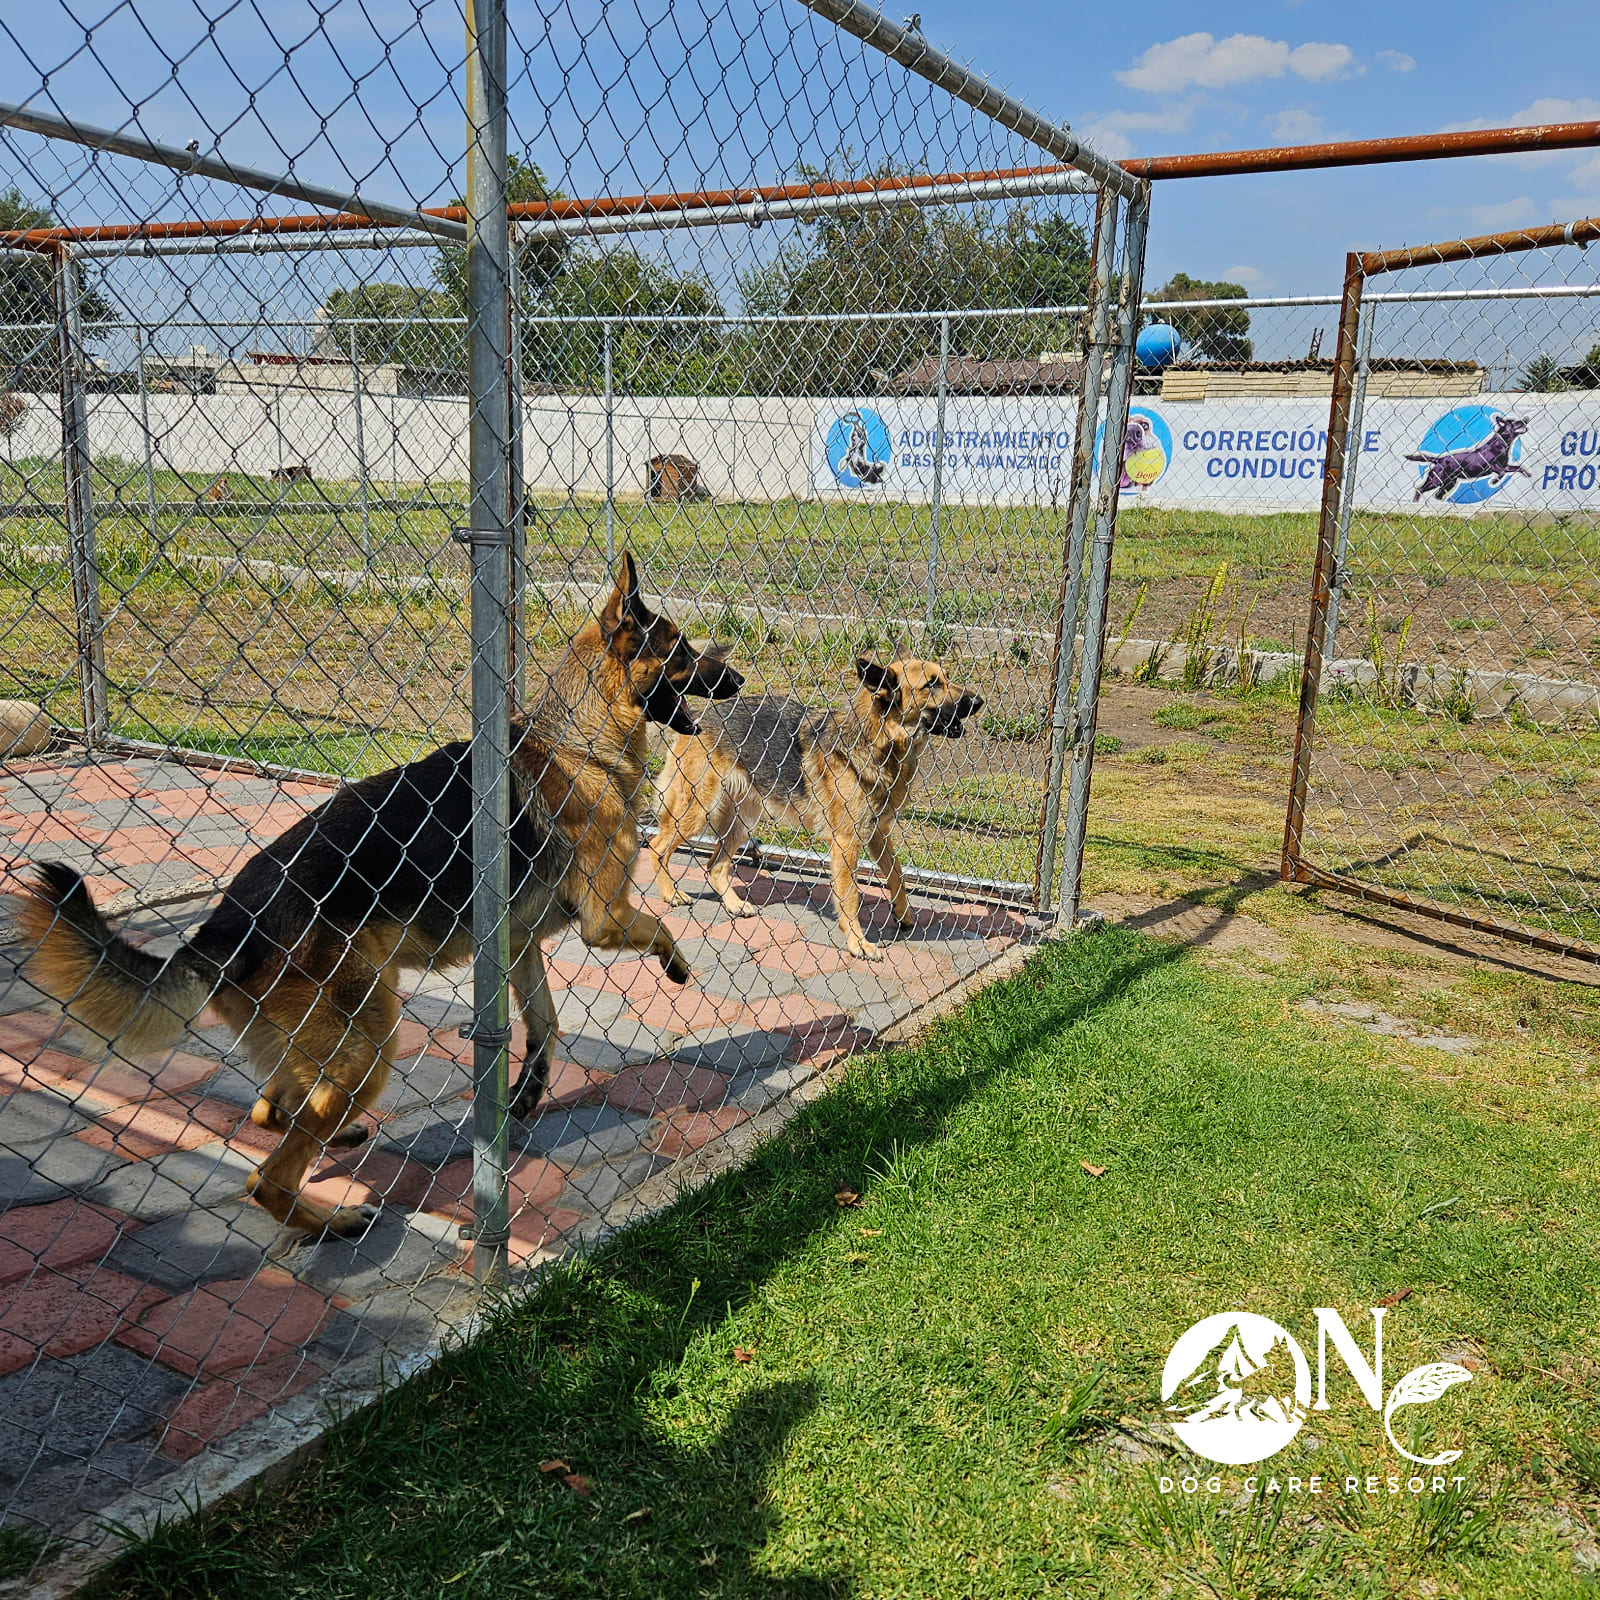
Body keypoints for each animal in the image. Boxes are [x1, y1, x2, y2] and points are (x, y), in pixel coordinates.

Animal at [15, 556, 739, 1241]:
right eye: (681, 650)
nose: (737, 681)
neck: (577, 741)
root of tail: (225, 925)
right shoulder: (603, 921)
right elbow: (656, 926)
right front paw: (677, 965)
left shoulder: (521, 942)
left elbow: (546, 1026)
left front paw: (527, 1091)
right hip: (371, 1042)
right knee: (268, 1173)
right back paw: (330, 1222)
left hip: (335, 1045)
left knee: (273, 1107)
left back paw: (331, 1138)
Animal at [646, 656, 972, 953]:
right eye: (931, 684)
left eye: (945, 678)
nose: (977, 701)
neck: (878, 740)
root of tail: (699, 716)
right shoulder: (846, 843)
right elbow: (850, 896)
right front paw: (858, 943)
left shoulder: (878, 833)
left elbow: (897, 876)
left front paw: (904, 916)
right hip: (696, 812)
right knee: (657, 848)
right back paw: (670, 894)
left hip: (742, 822)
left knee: (715, 865)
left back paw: (734, 904)